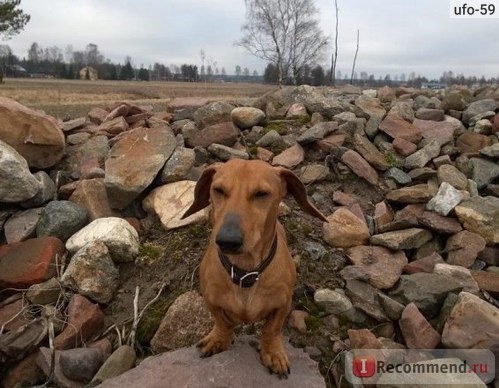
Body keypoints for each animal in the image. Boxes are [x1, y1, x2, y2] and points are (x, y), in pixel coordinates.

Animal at [181, 158, 328, 376]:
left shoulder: (283, 304)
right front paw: (219, 339)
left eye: (261, 194)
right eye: (218, 190)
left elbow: (271, 329)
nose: (227, 240)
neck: (245, 271)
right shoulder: (210, 299)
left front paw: (272, 352)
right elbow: (222, 321)